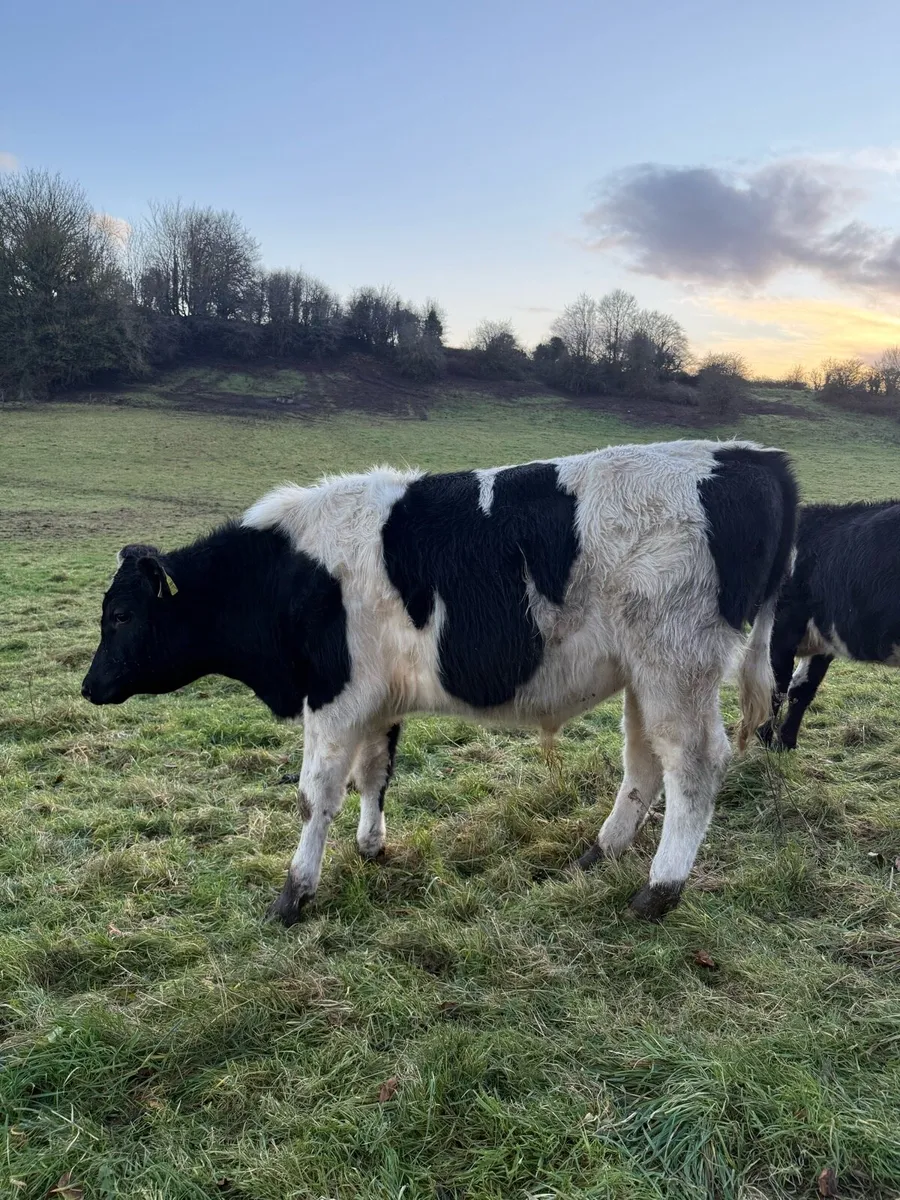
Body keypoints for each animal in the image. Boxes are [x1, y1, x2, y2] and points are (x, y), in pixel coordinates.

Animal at [81, 439, 797, 925]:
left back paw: (659, 889)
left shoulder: (333, 696)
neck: (291, 572)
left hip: (676, 665)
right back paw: (599, 853)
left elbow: (315, 795)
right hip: (643, 676)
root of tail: (753, 456)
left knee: (696, 766)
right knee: (646, 764)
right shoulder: (375, 700)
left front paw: (293, 893)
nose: (89, 687)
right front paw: (370, 847)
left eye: (121, 615)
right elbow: (374, 775)